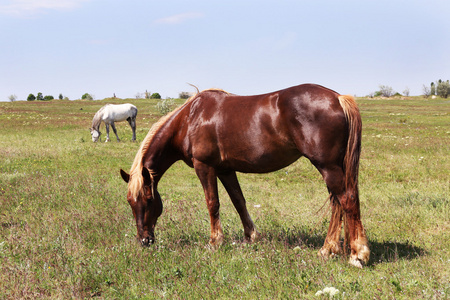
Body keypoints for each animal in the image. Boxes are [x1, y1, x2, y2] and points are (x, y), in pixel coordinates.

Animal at [119, 84, 370, 268]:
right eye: (130, 202)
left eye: (148, 199)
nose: (145, 240)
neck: (190, 119)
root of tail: (338, 98)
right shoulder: (225, 170)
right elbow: (238, 201)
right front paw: (251, 236)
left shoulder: (205, 167)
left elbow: (213, 203)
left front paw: (215, 242)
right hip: (332, 168)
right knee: (337, 204)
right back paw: (328, 250)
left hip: (328, 166)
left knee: (346, 200)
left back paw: (358, 254)